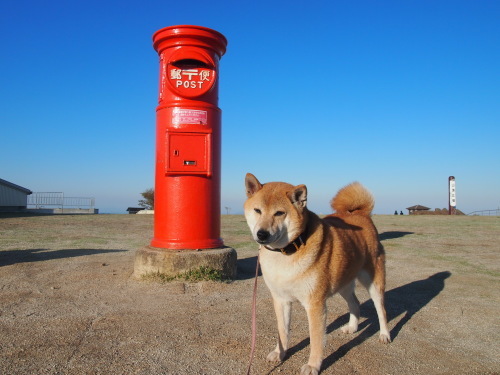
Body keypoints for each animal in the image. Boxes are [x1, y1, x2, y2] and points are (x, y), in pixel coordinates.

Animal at [243, 175, 390, 374]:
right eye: (257, 210)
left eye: (279, 213)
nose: (262, 234)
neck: (286, 252)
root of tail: (361, 214)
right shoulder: (281, 299)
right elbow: (282, 331)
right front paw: (280, 353)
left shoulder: (314, 305)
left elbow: (316, 339)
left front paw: (313, 365)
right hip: (344, 283)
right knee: (355, 303)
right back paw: (352, 327)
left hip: (373, 282)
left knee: (381, 309)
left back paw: (384, 334)